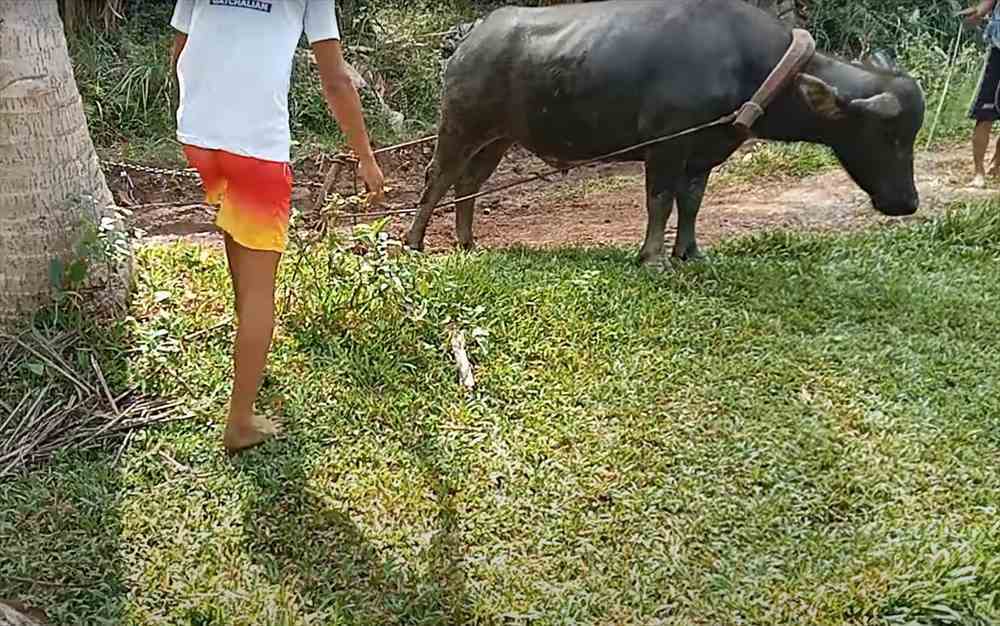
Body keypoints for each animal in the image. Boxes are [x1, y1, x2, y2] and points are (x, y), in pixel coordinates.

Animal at [402, 0, 924, 260]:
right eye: (891, 135)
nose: (908, 203)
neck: (751, 66)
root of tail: (469, 38)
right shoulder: (666, 145)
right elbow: (660, 200)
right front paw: (652, 257)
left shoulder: (708, 150)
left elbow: (690, 202)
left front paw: (689, 253)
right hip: (460, 123)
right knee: (438, 179)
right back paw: (414, 241)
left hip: (499, 136)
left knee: (469, 183)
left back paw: (468, 242)